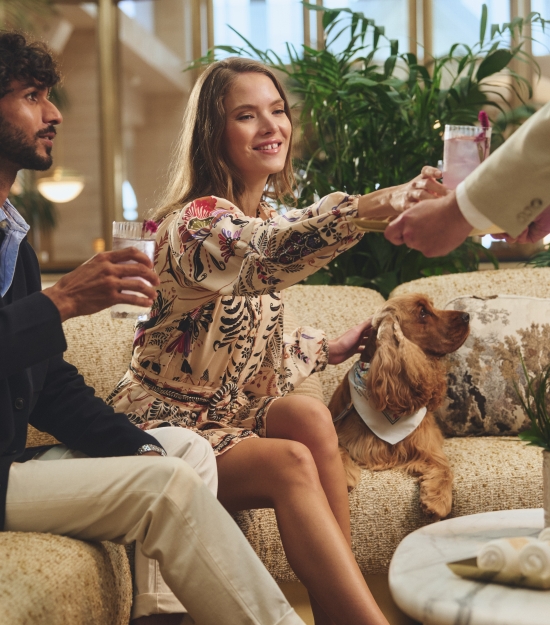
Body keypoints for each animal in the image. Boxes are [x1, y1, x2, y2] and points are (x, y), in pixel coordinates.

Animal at [330, 294, 472, 520]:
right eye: (422, 312)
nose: (467, 316)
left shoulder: (426, 444)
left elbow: (444, 466)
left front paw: (438, 501)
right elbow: (337, 448)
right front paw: (344, 475)